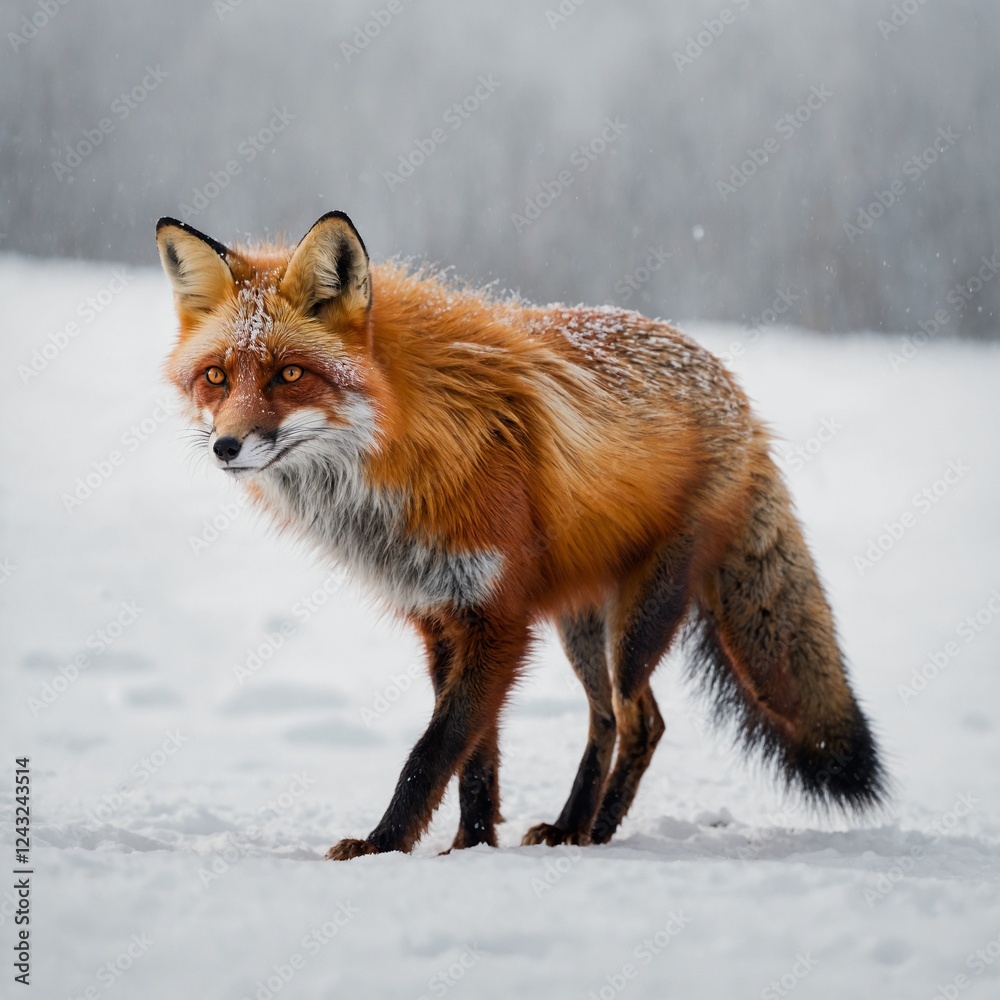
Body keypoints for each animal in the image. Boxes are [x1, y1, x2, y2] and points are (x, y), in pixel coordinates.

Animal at [156, 211, 887, 860]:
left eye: (289, 374)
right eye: (217, 376)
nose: (226, 447)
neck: (409, 447)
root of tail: (739, 397)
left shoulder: (498, 614)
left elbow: (434, 750)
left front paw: (382, 844)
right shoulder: (442, 616)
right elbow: (476, 755)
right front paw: (472, 845)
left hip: (636, 621)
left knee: (640, 722)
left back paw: (598, 832)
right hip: (580, 622)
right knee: (609, 719)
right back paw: (571, 826)